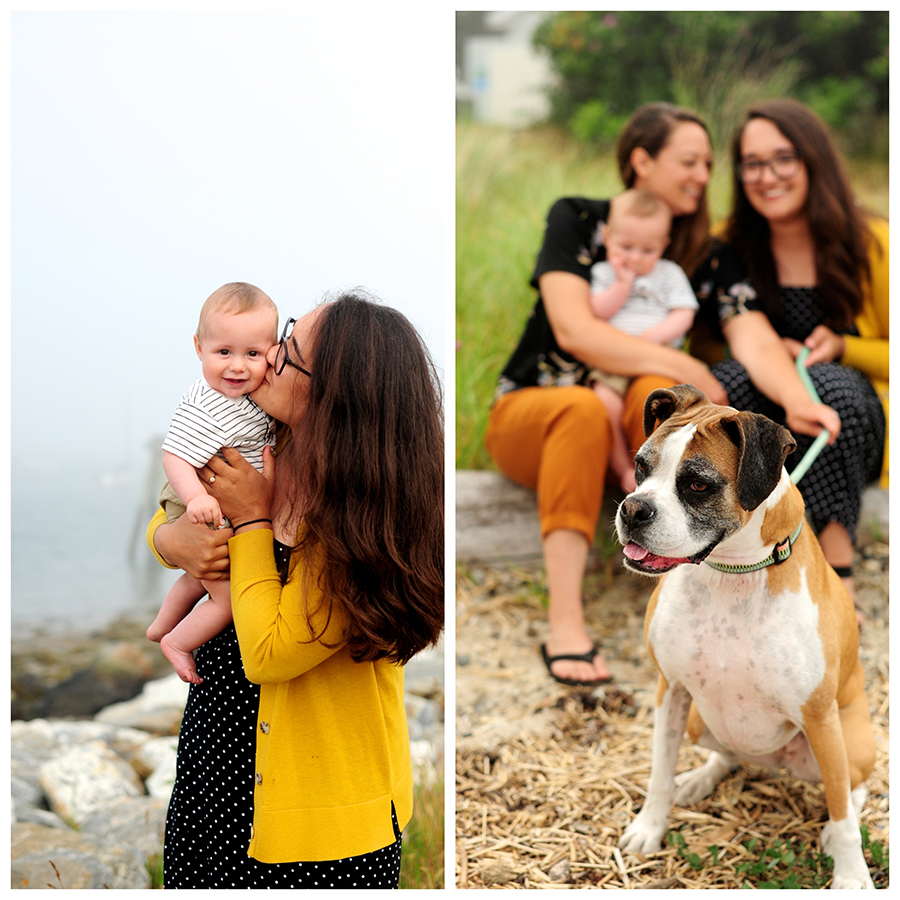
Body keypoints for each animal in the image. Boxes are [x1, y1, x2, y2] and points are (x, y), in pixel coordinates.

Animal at [616, 384, 876, 888]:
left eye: (698, 485)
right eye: (641, 466)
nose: (633, 508)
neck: (731, 571)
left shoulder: (820, 719)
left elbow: (841, 812)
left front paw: (852, 875)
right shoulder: (671, 690)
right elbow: (659, 770)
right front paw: (650, 827)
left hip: (843, 743)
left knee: (851, 791)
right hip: (700, 720)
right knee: (728, 755)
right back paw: (697, 779)